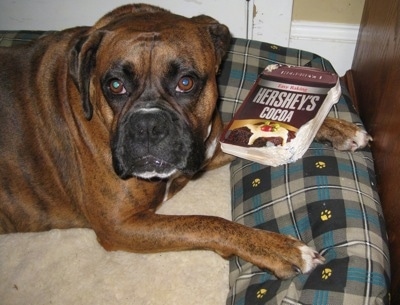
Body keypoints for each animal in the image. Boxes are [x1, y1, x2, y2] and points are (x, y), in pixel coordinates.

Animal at [0, 3, 370, 278]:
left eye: (186, 83)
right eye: (115, 85)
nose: (148, 125)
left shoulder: (208, 144)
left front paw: (338, 128)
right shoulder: (119, 225)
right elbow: (209, 223)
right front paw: (279, 248)